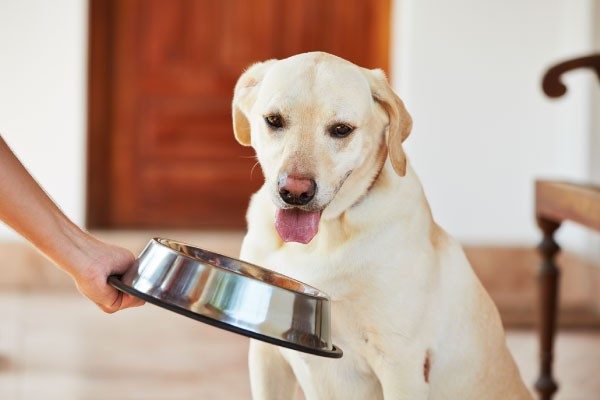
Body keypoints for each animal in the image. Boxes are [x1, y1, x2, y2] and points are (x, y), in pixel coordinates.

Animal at [232, 52, 532, 400]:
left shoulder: (401, 363)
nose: (294, 192)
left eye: (341, 129)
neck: (324, 238)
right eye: (274, 120)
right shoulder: (265, 350)